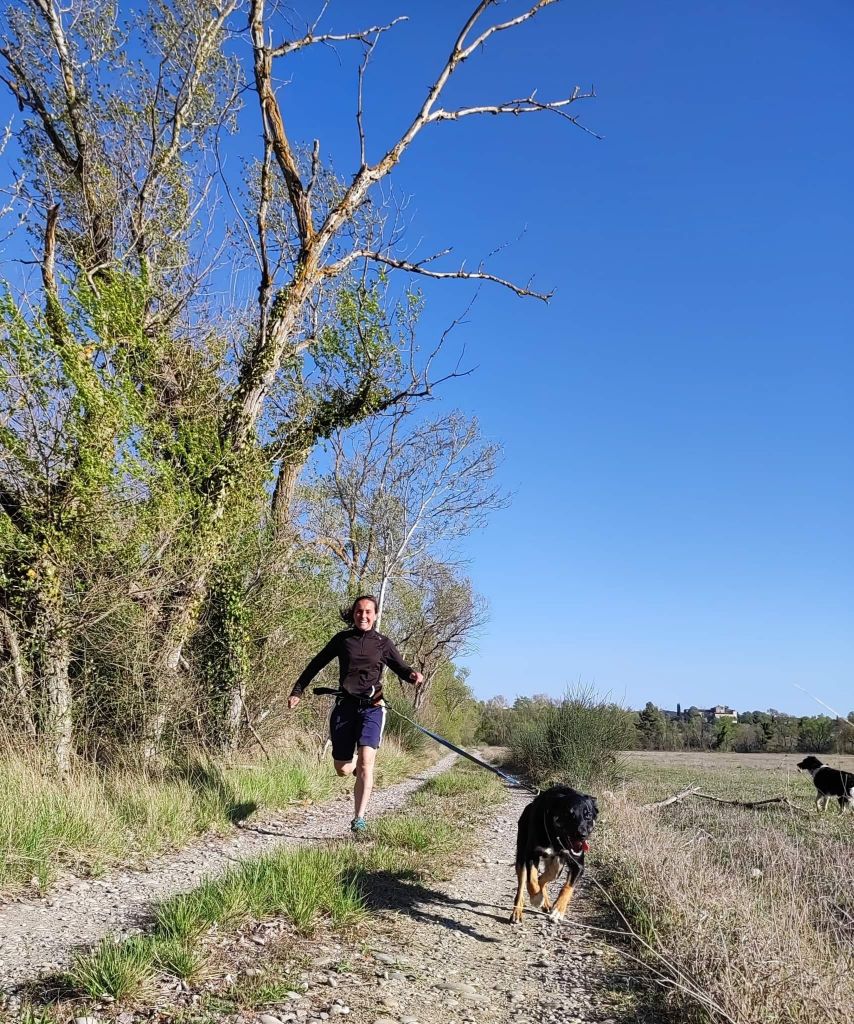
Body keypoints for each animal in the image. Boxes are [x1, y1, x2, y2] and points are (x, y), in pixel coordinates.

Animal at [509, 786, 593, 925]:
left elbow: (568, 887)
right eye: (569, 814)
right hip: (522, 857)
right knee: (522, 885)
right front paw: (536, 898)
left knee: (544, 878)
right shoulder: (531, 854)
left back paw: (546, 902)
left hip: (557, 866)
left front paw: (558, 910)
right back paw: (518, 911)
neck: (555, 838)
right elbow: (531, 880)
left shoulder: (578, 865)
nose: (582, 835)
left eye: (588, 816)